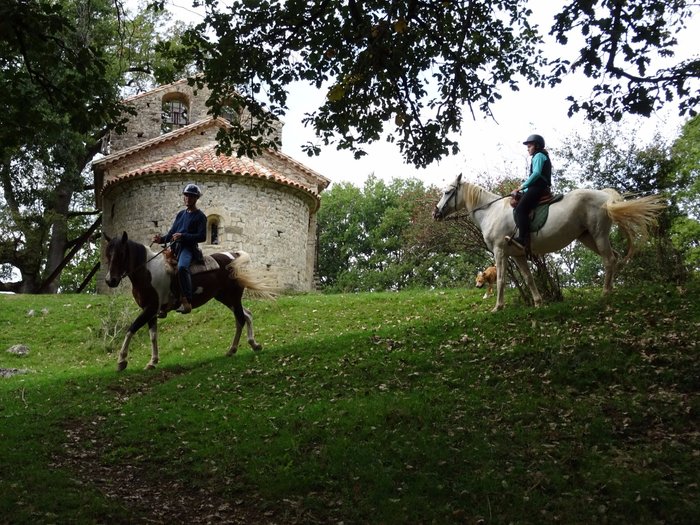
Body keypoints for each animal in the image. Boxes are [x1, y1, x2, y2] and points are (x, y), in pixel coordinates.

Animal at [102, 231, 276, 370]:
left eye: (121, 254)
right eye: (107, 255)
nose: (110, 281)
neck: (148, 271)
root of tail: (233, 256)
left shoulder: (150, 308)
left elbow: (131, 329)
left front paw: (122, 361)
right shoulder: (150, 311)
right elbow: (153, 336)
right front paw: (153, 362)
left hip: (233, 296)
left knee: (240, 318)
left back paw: (233, 349)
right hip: (226, 298)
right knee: (247, 314)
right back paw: (253, 344)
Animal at [432, 175, 668, 312]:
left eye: (447, 192)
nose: (436, 213)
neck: (491, 210)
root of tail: (603, 194)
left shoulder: (500, 251)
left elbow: (500, 280)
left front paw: (498, 307)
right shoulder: (517, 255)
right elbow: (528, 278)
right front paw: (538, 303)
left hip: (598, 233)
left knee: (609, 259)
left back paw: (605, 293)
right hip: (587, 237)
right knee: (615, 257)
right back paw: (612, 288)